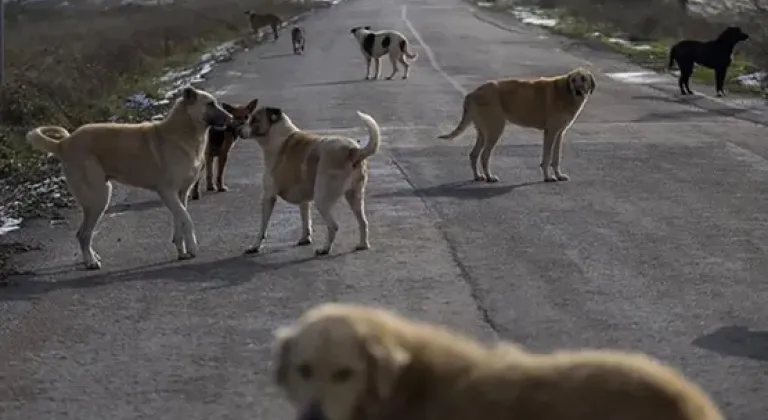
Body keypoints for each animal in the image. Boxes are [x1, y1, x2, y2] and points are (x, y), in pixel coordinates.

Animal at [25, 86, 232, 270]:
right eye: (210, 104)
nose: (231, 118)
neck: (183, 131)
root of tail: (63, 144)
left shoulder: (181, 194)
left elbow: (179, 220)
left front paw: (182, 250)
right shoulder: (167, 192)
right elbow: (187, 219)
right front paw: (193, 247)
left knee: (84, 233)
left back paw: (92, 257)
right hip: (99, 198)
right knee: (82, 234)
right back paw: (90, 262)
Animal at [238, 105, 382, 256]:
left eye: (254, 120)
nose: (237, 130)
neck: (278, 136)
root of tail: (352, 150)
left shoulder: (268, 197)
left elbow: (262, 227)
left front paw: (254, 246)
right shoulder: (304, 199)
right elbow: (305, 219)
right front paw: (305, 238)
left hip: (322, 199)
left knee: (333, 226)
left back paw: (325, 249)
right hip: (355, 196)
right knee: (363, 222)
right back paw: (363, 245)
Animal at [438, 67, 592, 182]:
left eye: (584, 79)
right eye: (573, 80)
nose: (578, 91)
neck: (567, 92)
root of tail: (473, 93)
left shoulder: (559, 133)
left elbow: (556, 157)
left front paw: (558, 175)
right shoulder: (551, 132)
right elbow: (547, 156)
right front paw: (548, 177)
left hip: (483, 131)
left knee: (474, 154)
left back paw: (478, 176)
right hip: (495, 129)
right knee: (484, 155)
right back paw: (489, 177)